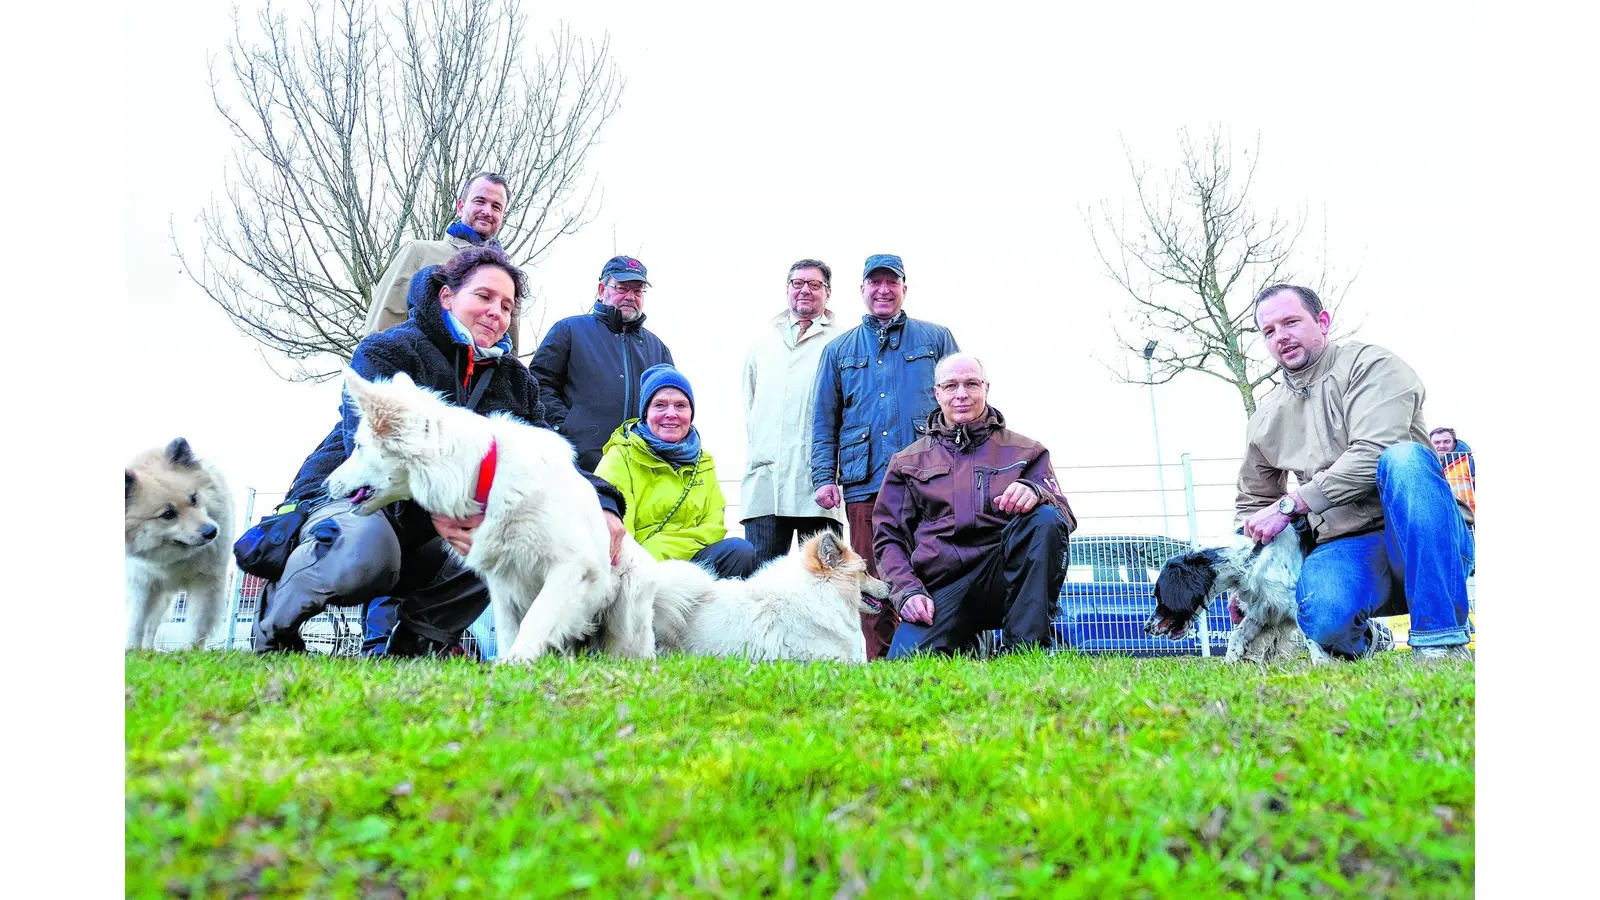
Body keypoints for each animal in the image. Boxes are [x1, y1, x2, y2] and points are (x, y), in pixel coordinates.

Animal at [324, 365, 656, 659]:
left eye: (359, 447)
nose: (327, 484)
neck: (485, 476)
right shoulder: (502, 581)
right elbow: (508, 630)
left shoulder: (570, 567)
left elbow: (537, 617)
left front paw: (517, 661)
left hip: (625, 614)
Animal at [1145, 518, 1318, 659]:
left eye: (1162, 598)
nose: (1147, 627)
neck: (1248, 555)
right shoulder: (1265, 607)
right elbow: (1236, 635)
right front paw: (1230, 664)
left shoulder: (1296, 605)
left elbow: (1312, 637)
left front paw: (1320, 665)